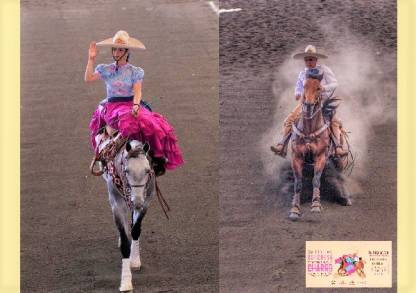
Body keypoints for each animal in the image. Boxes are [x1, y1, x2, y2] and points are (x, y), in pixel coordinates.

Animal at [102, 139, 156, 290]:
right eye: (127, 170)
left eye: (147, 170)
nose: (136, 201)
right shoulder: (116, 202)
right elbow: (125, 241)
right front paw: (126, 282)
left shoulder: (147, 200)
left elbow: (136, 230)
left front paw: (135, 260)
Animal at [288, 72, 334, 219]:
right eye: (304, 86)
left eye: (319, 88)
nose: (308, 104)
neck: (309, 130)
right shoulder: (296, 157)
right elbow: (298, 183)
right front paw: (295, 209)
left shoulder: (320, 156)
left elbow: (316, 180)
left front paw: (316, 205)